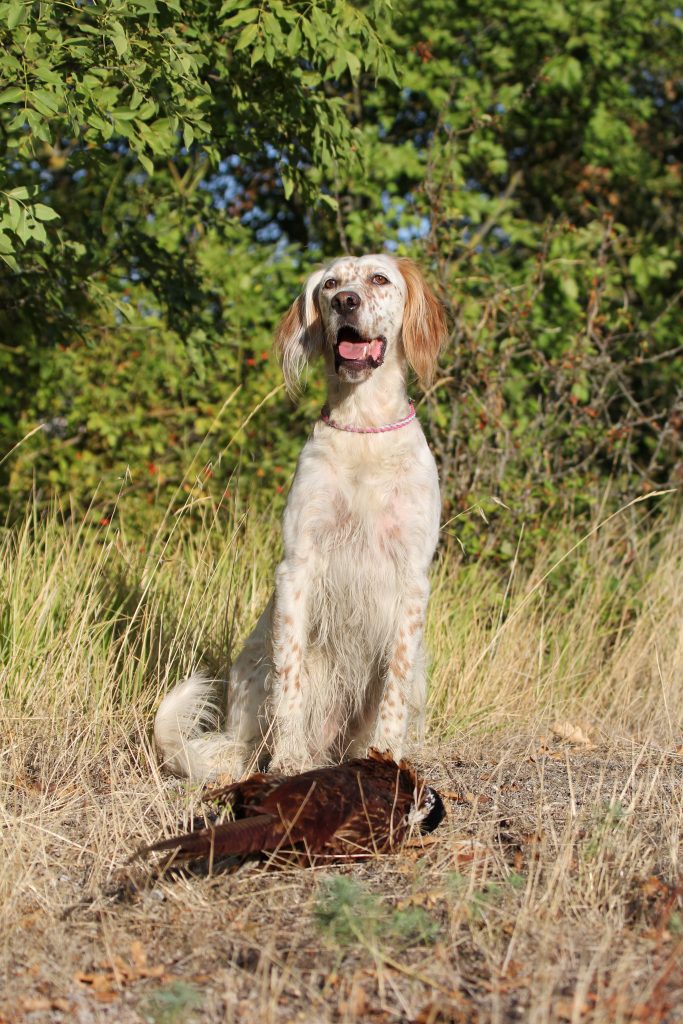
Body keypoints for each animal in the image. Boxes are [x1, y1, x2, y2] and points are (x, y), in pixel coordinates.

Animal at [153, 251, 448, 778]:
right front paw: (289, 762)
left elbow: (393, 689)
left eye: (379, 279)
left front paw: (386, 757)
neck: (363, 427)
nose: (345, 301)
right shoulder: (297, 567)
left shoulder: (412, 581)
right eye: (329, 285)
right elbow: (287, 681)